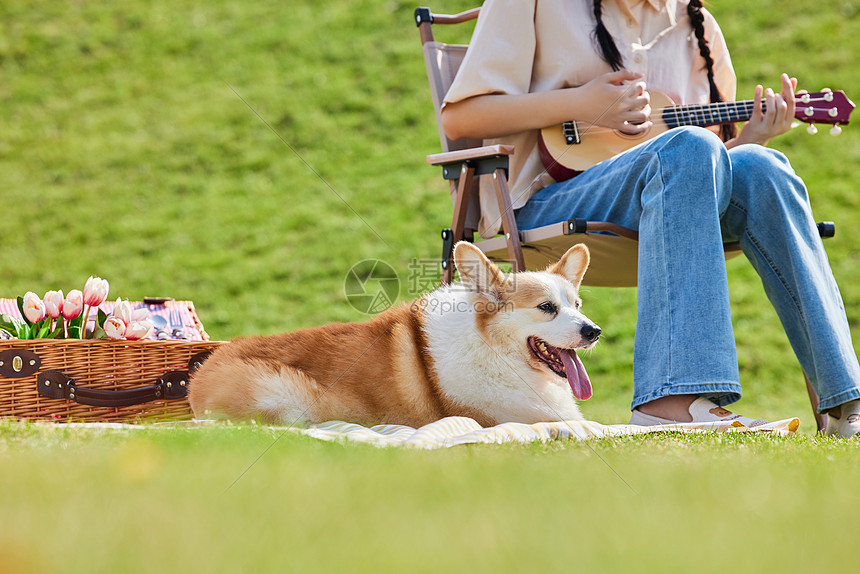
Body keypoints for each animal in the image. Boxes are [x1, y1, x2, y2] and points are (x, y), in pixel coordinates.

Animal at [191, 242, 600, 428]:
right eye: (546, 307)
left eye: (578, 304)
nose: (594, 331)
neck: (492, 349)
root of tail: (198, 375)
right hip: (289, 398)